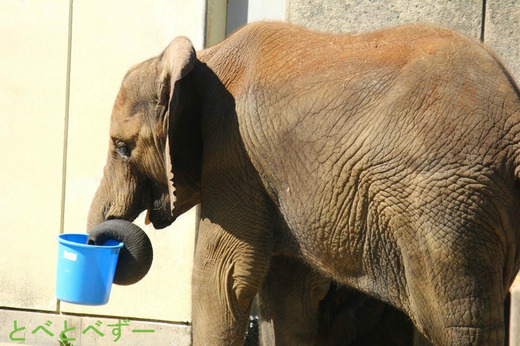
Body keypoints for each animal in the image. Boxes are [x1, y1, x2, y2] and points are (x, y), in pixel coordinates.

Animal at [86, 22, 520, 346]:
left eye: (122, 148)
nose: (100, 244)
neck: (204, 59)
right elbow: (285, 295)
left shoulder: (233, 156)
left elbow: (221, 277)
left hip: (447, 203)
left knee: (451, 321)